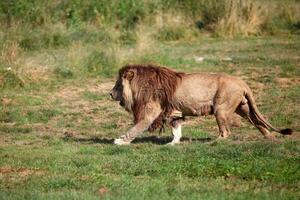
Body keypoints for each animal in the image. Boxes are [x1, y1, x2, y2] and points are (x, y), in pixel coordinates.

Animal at [109, 65, 292, 145]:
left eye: (118, 85)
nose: (109, 93)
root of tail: (242, 82)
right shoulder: (174, 112)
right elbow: (176, 129)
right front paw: (173, 144)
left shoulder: (150, 112)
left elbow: (136, 128)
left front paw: (120, 141)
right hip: (244, 108)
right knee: (258, 122)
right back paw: (270, 137)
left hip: (221, 109)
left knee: (226, 132)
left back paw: (212, 142)